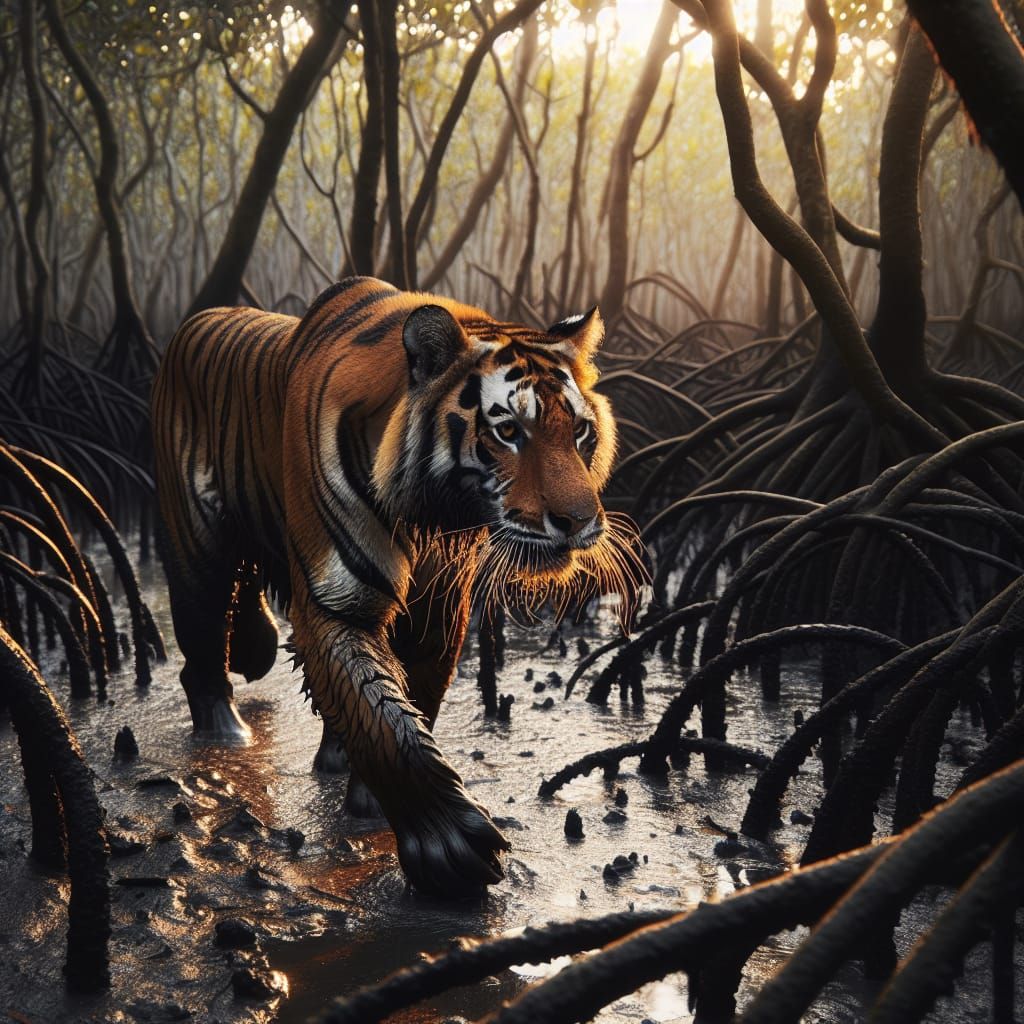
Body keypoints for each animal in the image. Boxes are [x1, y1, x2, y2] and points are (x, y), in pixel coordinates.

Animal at [151, 276, 644, 896]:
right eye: (509, 431)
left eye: (578, 431)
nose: (578, 522)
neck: (432, 518)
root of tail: (195, 321)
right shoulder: (338, 604)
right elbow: (381, 718)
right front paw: (448, 849)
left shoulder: (438, 610)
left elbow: (407, 702)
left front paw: (368, 801)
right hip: (197, 551)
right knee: (202, 651)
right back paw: (227, 734)